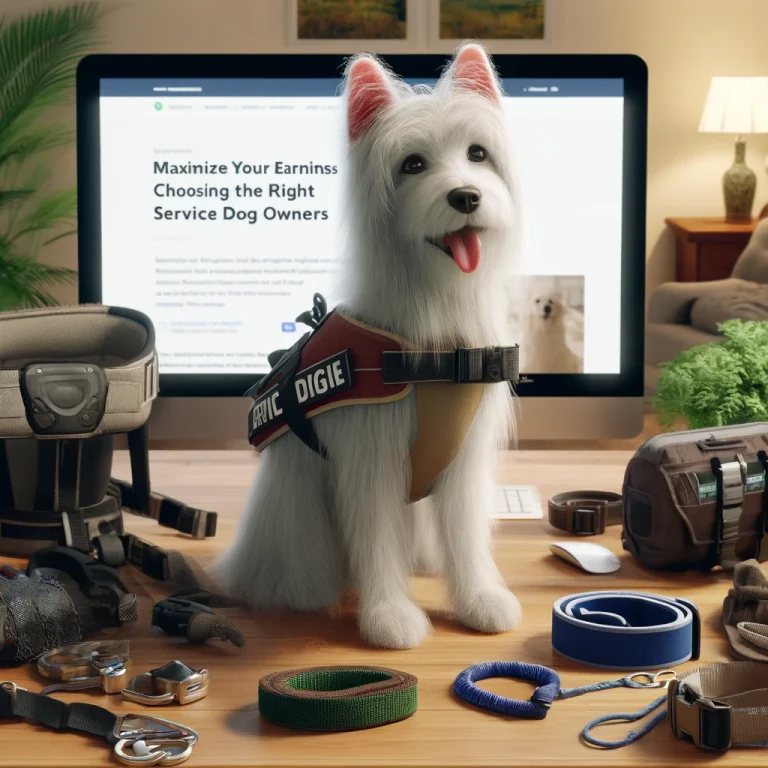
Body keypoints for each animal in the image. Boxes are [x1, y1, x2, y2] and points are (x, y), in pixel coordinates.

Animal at [219, 43, 524, 648]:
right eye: (412, 164)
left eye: (478, 153)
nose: (466, 196)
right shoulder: (370, 456)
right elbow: (377, 535)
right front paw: (389, 617)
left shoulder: (464, 460)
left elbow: (465, 532)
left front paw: (480, 598)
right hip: (301, 519)